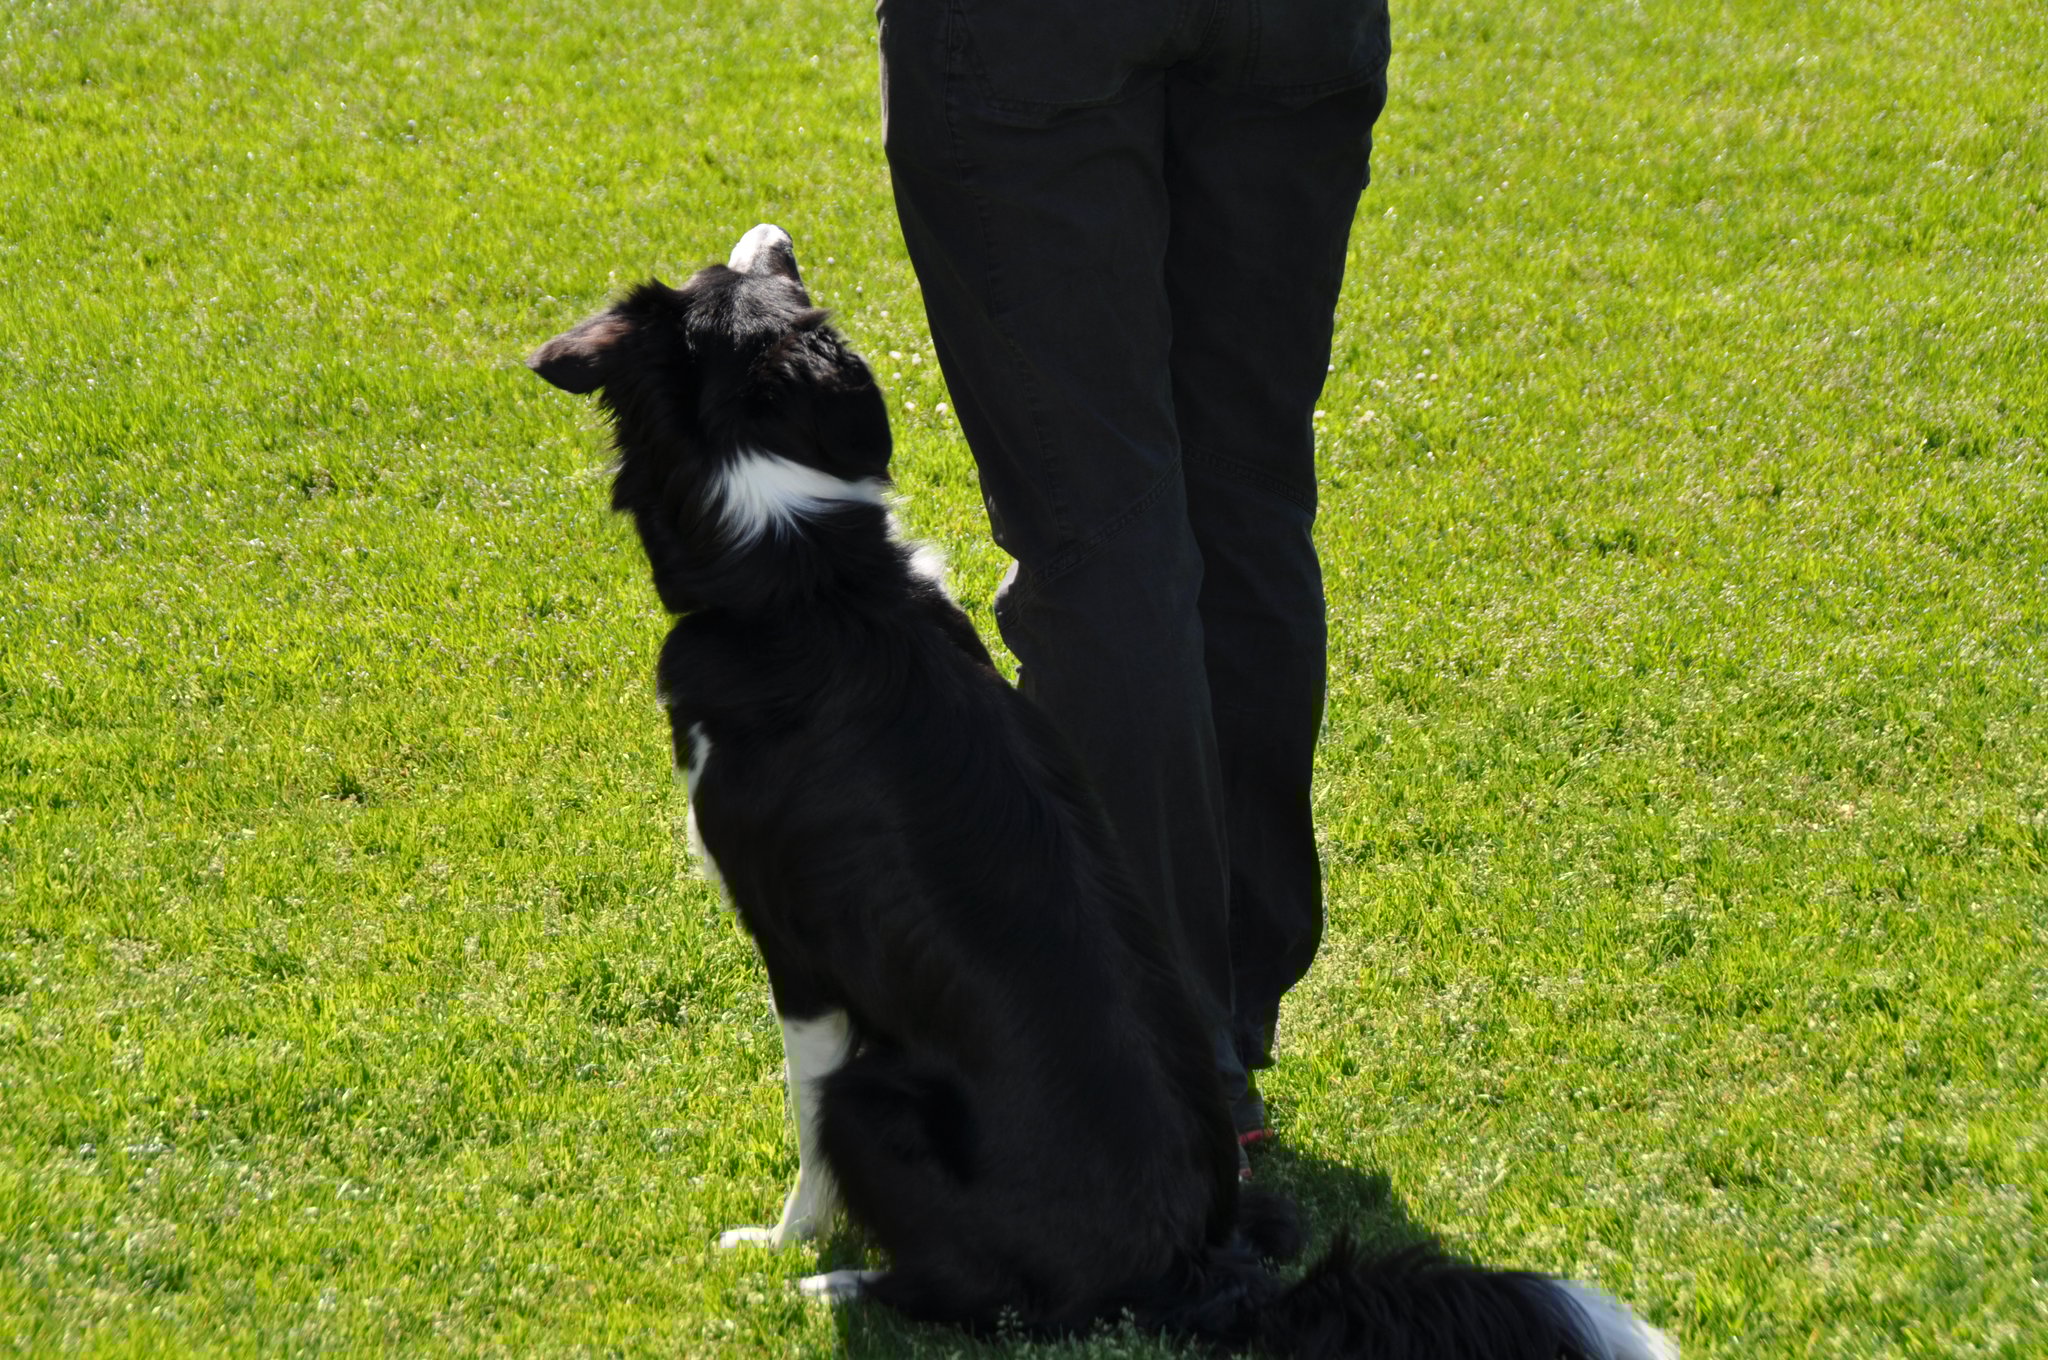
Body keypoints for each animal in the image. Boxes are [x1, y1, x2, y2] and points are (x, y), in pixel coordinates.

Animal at [529, 223, 1677, 1358]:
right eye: (761, 288)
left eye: (712, 280)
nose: (777, 232)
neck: (804, 575)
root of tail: (1195, 1266)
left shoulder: (799, 954)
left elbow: (804, 1134)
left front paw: (780, 1243)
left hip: (880, 1092)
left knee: (965, 1290)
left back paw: (836, 1286)